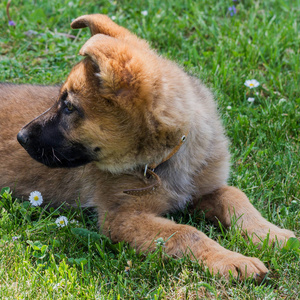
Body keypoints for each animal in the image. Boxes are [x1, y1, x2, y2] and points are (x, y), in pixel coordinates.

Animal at [0, 14, 296, 282]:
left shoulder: (206, 187)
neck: (166, 157)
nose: (20, 137)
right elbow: (187, 232)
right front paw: (231, 259)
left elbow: (235, 196)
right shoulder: (124, 218)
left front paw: (272, 235)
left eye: (70, 108)